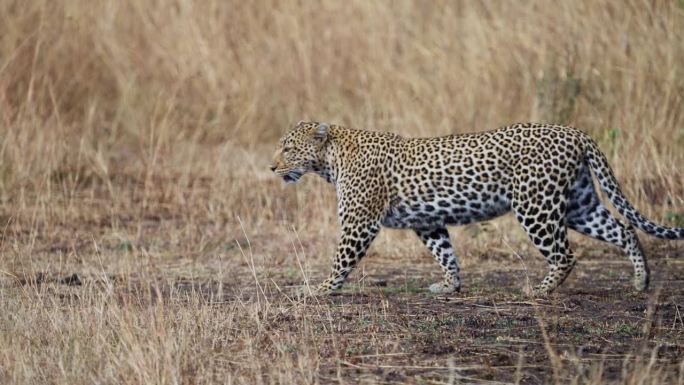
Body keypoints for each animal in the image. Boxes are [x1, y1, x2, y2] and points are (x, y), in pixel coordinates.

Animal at [272, 121, 684, 296]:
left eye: (288, 149)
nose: (273, 168)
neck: (330, 159)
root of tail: (575, 132)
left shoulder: (359, 222)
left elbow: (340, 259)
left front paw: (320, 290)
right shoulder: (427, 221)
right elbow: (445, 253)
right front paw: (450, 286)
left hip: (536, 205)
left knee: (565, 254)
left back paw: (538, 290)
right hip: (578, 205)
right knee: (623, 228)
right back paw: (640, 281)